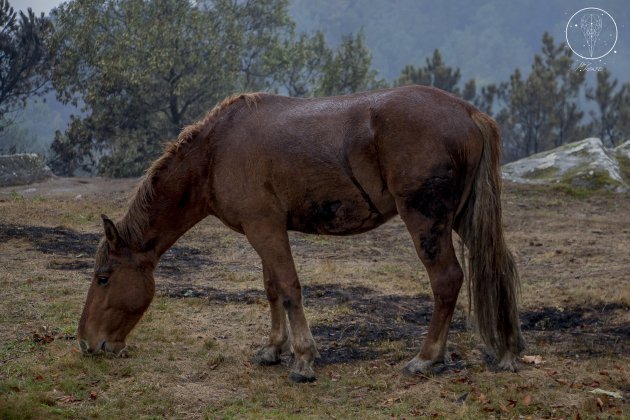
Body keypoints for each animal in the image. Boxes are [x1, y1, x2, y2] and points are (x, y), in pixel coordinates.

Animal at [76, 86, 524, 384]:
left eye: (103, 277)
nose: (85, 343)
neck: (216, 152)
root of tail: (469, 113)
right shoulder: (262, 230)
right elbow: (273, 288)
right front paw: (274, 349)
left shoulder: (265, 229)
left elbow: (290, 288)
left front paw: (304, 359)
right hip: (462, 220)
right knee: (495, 270)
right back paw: (503, 348)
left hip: (427, 223)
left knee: (447, 281)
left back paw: (428, 357)